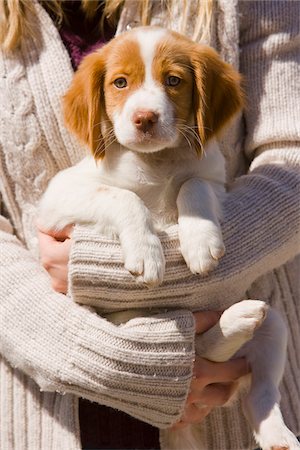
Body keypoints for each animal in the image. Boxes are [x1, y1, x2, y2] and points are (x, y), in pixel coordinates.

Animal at [38, 28, 300, 450]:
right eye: (120, 83)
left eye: (174, 80)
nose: (144, 118)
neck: (156, 163)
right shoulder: (58, 197)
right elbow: (121, 195)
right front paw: (148, 254)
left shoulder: (214, 181)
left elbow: (193, 184)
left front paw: (200, 242)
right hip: (128, 332)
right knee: (191, 352)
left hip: (276, 326)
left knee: (255, 390)